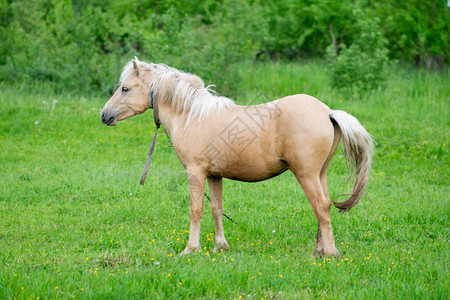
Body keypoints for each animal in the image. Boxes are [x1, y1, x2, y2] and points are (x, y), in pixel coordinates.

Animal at [102, 58, 372, 258]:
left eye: (125, 88)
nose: (105, 115)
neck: (192, 115)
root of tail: (327, 112)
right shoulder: (214, 175)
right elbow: (216, 208)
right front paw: (220, 246)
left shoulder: (195, 172)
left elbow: (196, 209)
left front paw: (190, 249)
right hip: (319, 174)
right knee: (321, 206)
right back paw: (319, 251)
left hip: (306, 174)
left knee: (322, 206)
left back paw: (331, 253)